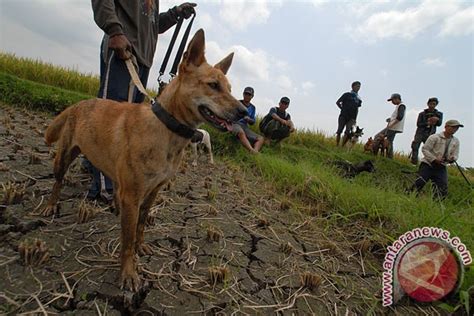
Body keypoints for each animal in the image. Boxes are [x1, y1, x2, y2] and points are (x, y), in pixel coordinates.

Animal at [41, 29, 248, 292]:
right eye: (213, 85)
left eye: (230, 88)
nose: (244, 113)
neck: (167, 128)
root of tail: (78, 104)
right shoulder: (133, 194)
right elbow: (127, 240)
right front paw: (128, 272)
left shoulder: (153, 191)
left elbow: (140, 225)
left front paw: (141, 246)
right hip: (64, 157)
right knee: (57, 182)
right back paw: (50, 205)